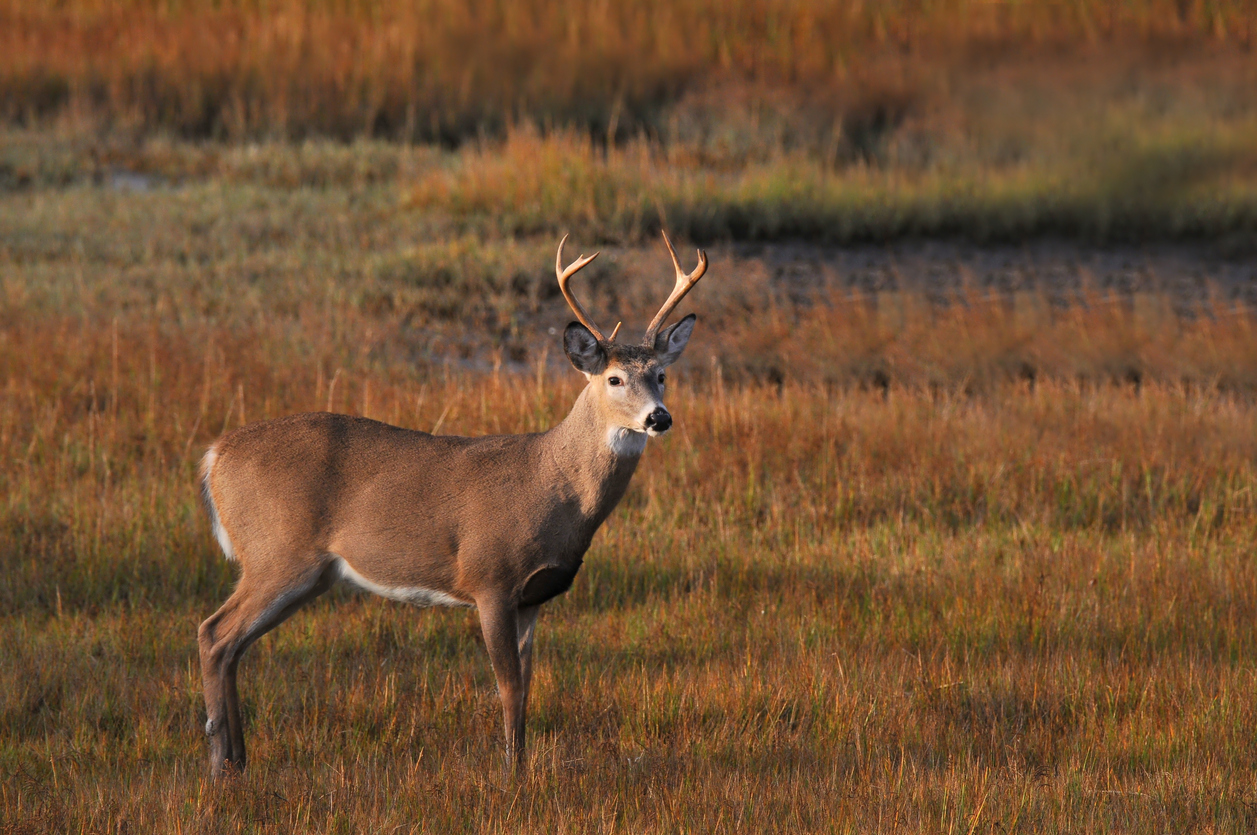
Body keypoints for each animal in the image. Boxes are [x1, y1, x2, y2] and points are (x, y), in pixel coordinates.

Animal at [196, 230, 708, 774]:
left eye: (661, 375)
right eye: (614, 379)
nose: (659, 418)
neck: (550, 485)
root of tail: (215, 455)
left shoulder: (533, 598)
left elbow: (528, 686)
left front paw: (521, 763)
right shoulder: (490, 577)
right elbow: (508, 688)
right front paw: (511, 772)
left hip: (308, 573)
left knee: (232, 645)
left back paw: (238, 761)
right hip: (276, 553)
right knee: (214, 633)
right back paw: (220, 764)